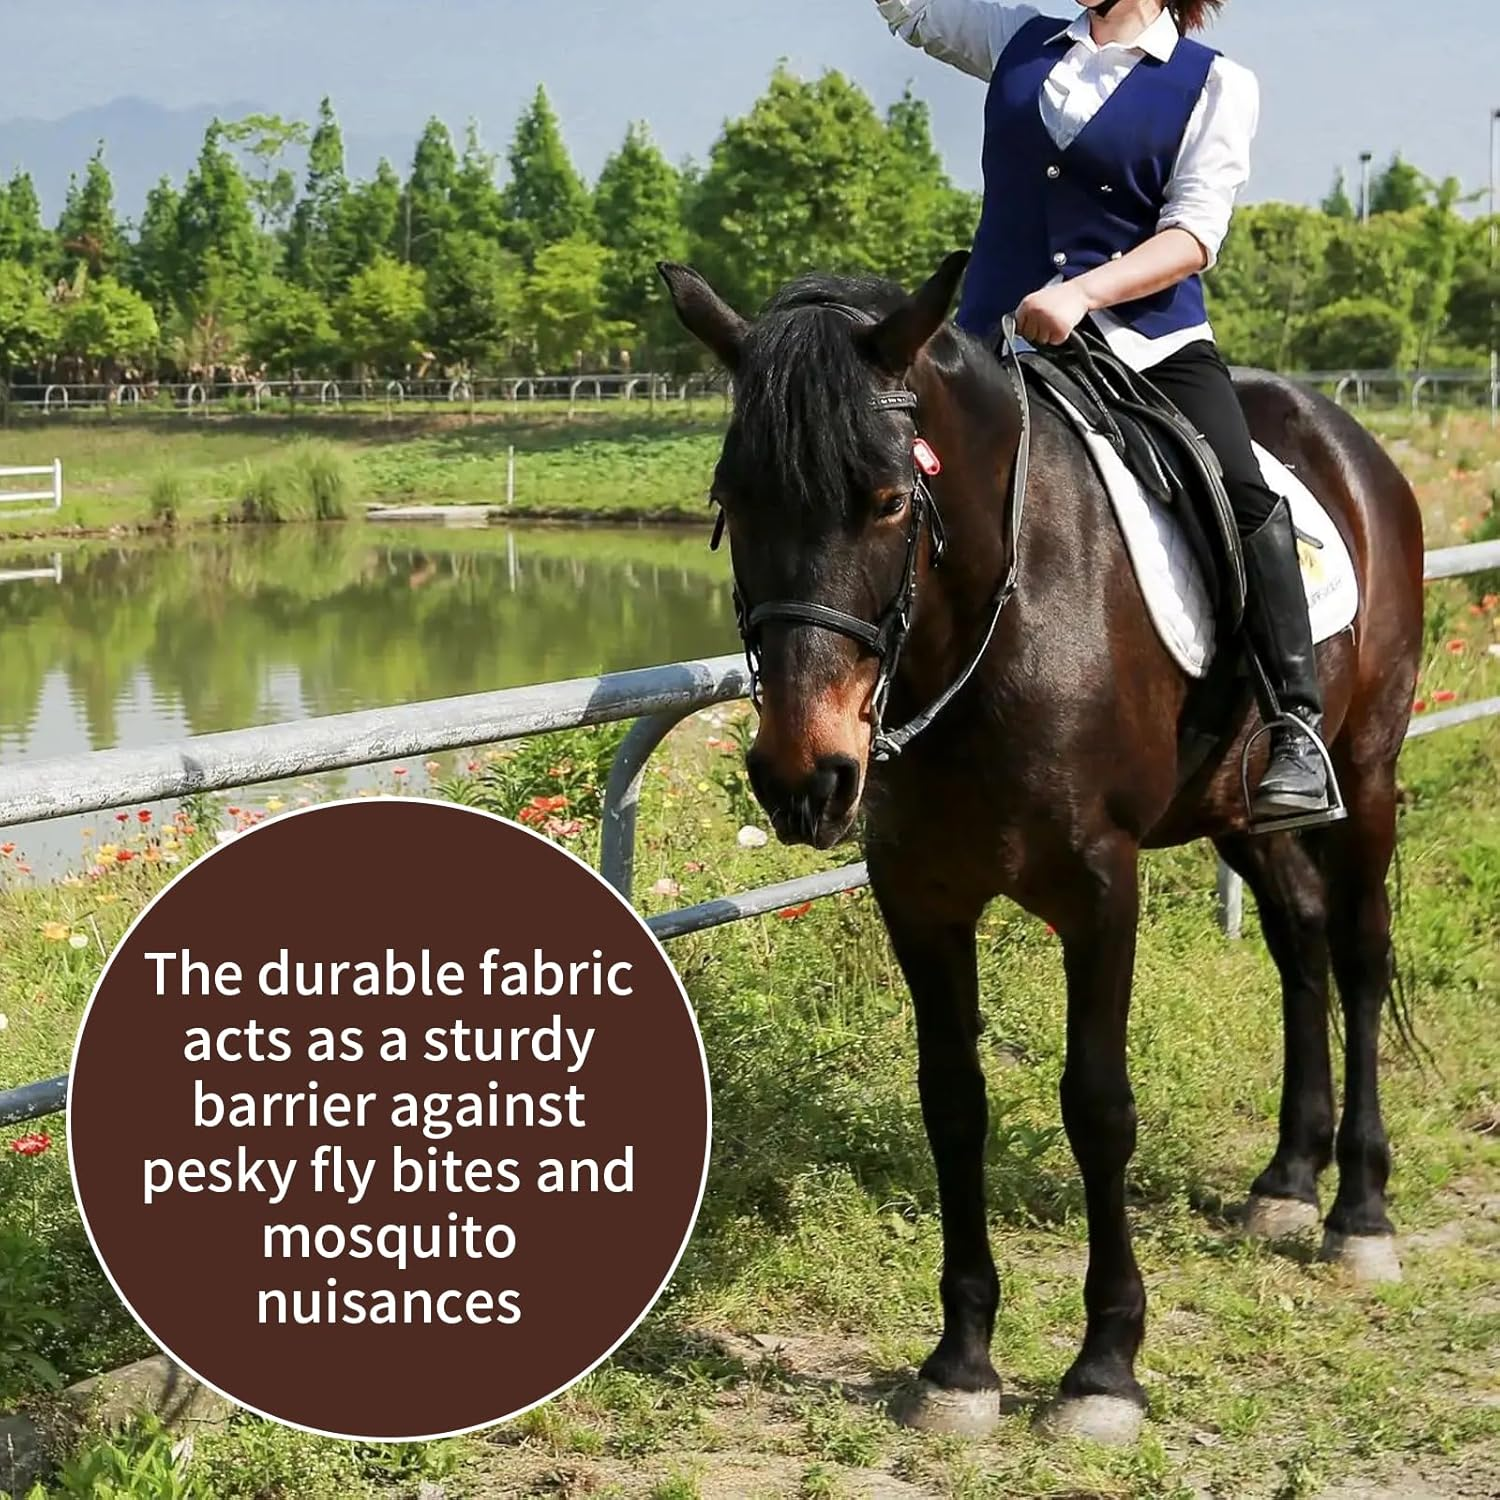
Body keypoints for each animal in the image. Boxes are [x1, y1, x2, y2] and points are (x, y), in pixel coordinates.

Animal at [659, 251, 1424, 1444]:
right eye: (733, 503)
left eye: (888, 500)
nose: (804, 777)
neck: (1003, 618)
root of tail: (1351, 442)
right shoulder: (920, 894)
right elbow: (952, 1100)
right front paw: (961, 1363)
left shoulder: (1101, 887)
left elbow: (1097, 1104)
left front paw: (1105, 1367)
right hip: (1239, 810)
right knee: (1300, 945)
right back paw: (1288, 1182)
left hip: (1370, 768)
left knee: (1356, 957)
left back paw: (1360, 1212)